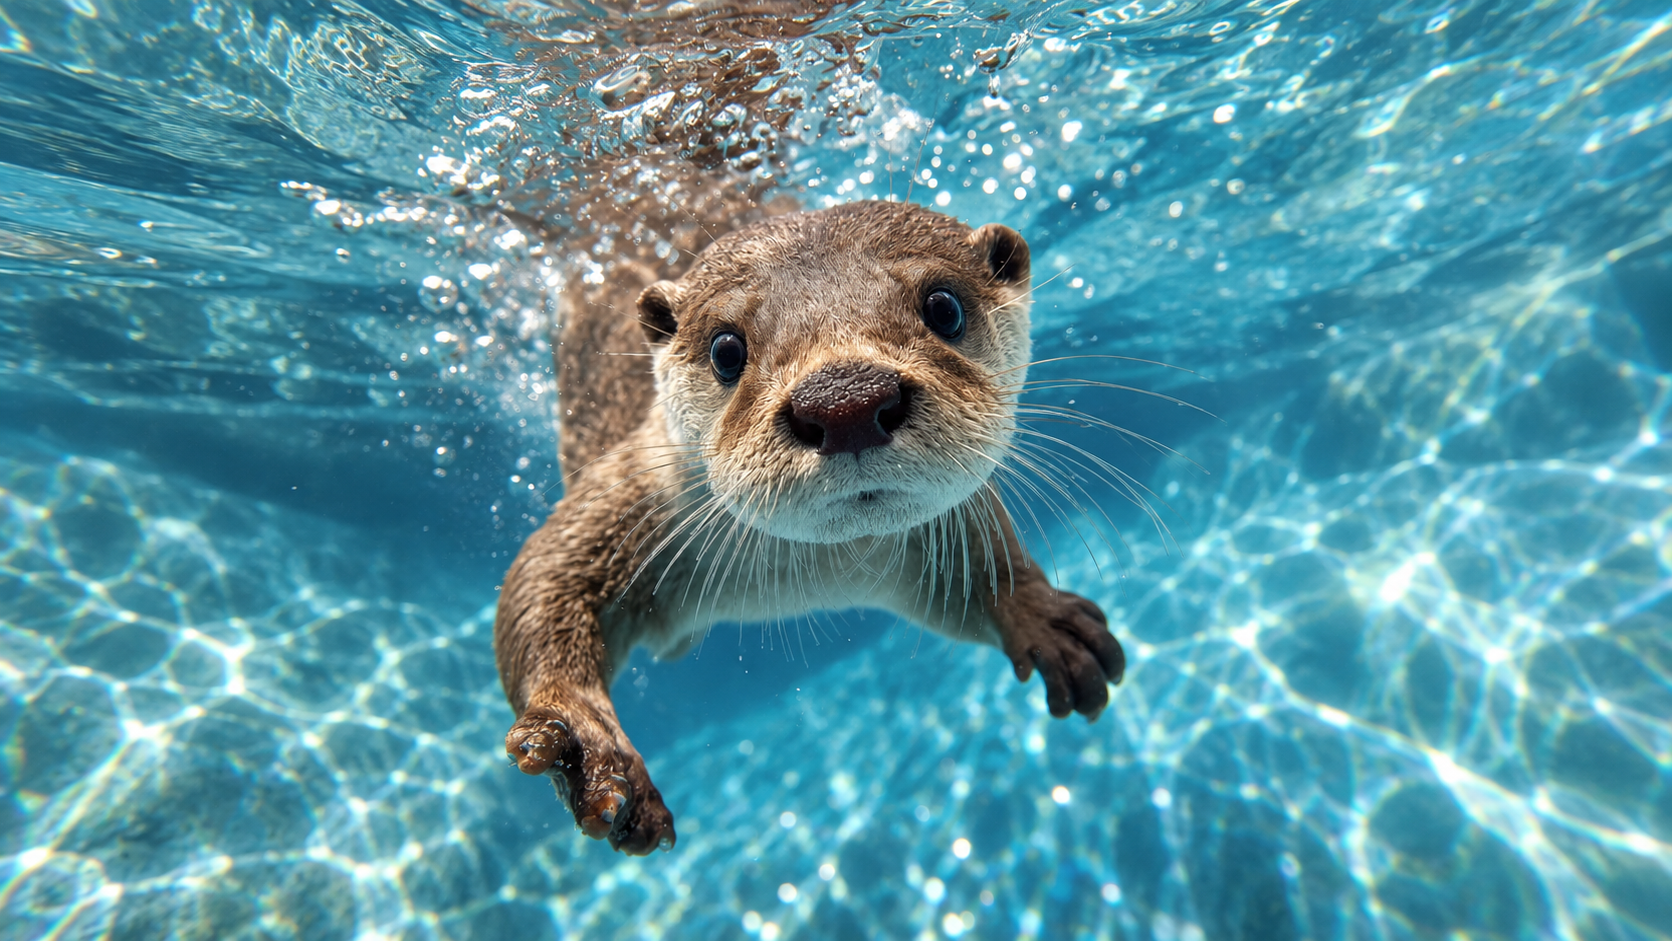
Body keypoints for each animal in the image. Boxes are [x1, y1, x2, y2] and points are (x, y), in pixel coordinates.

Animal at [494, 200, 1125, 855]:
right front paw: (582, 739)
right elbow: (543, 579)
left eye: (944, 307)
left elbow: (976, 582)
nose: (845, 400)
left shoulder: (946, 533)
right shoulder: (630, 494)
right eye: (725, 350)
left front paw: (1043, 620)